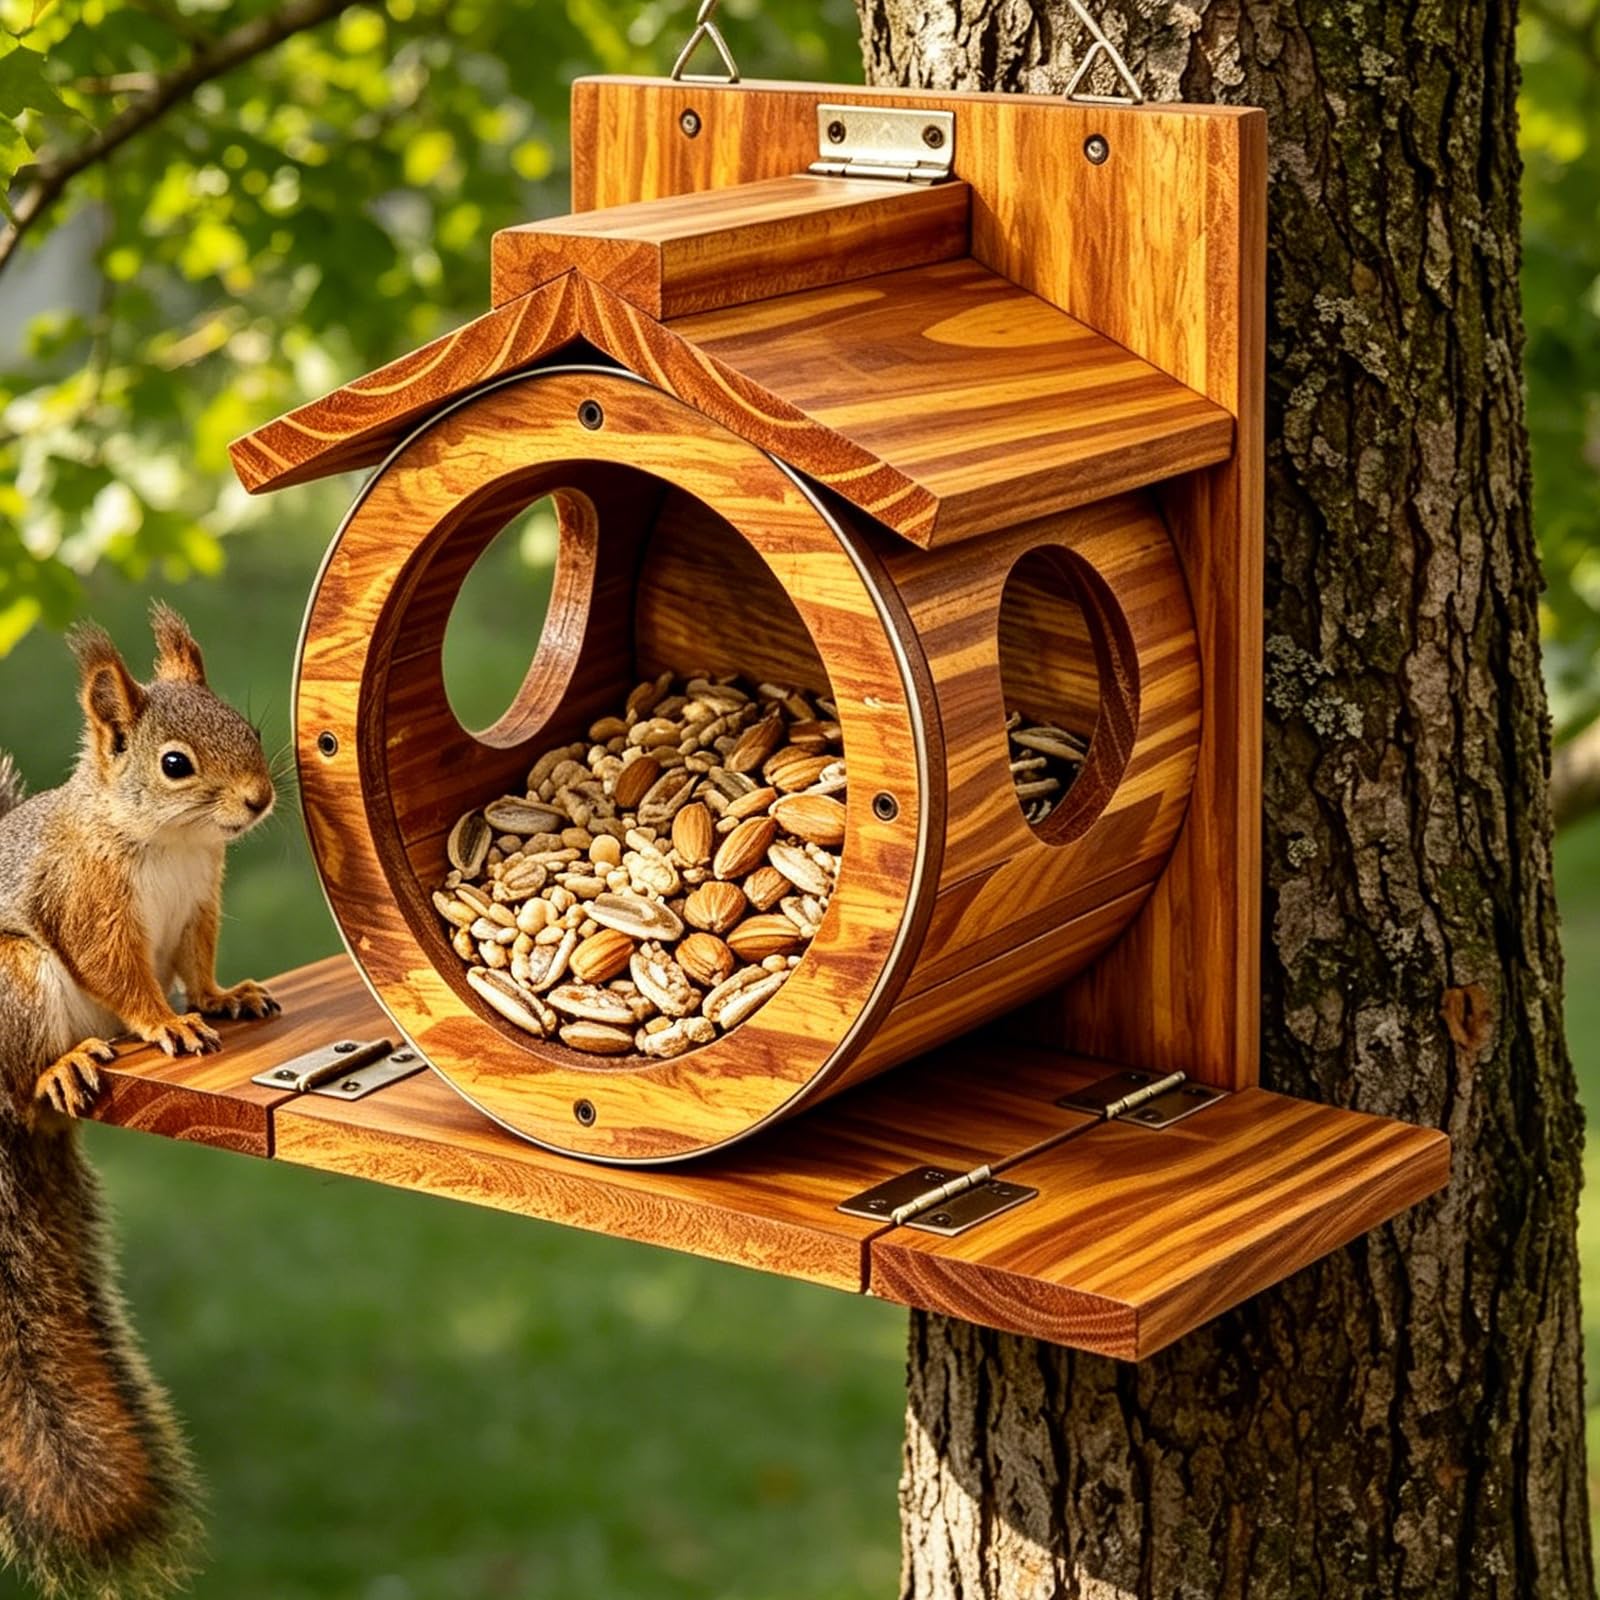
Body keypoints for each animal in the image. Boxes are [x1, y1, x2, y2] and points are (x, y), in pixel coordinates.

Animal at [0, 603, 280, 1598]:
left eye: (252, 731)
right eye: (175, 764)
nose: (259, 800)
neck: (174, 844)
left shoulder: (199, 904)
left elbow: (197, 962)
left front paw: (226, 998)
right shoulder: (87, 905)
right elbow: (127, 978)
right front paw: (166, 1027)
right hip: (15, 980)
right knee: (22, 1077)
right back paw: (60, 1069)